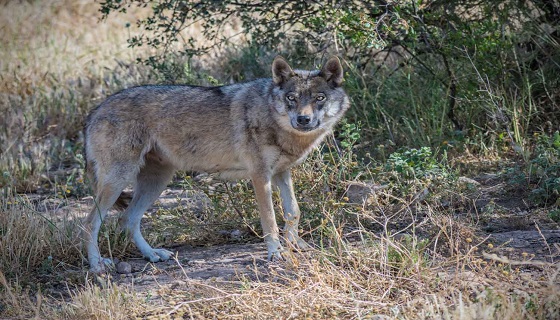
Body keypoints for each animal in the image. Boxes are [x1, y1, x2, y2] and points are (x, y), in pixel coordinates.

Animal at [82, 56, 348, 272]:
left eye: (319, 98)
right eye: (291, 98)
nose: (303, 119)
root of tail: (95, 110)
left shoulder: (281, 172)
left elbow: (293, 210)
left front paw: (296, 244)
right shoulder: (260, 175)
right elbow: (270, 219)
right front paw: (276, 252)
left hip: (157, 182)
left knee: (127, 219)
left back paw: (152, 254)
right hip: (118, 182)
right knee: (90, 223)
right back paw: (97, 265)